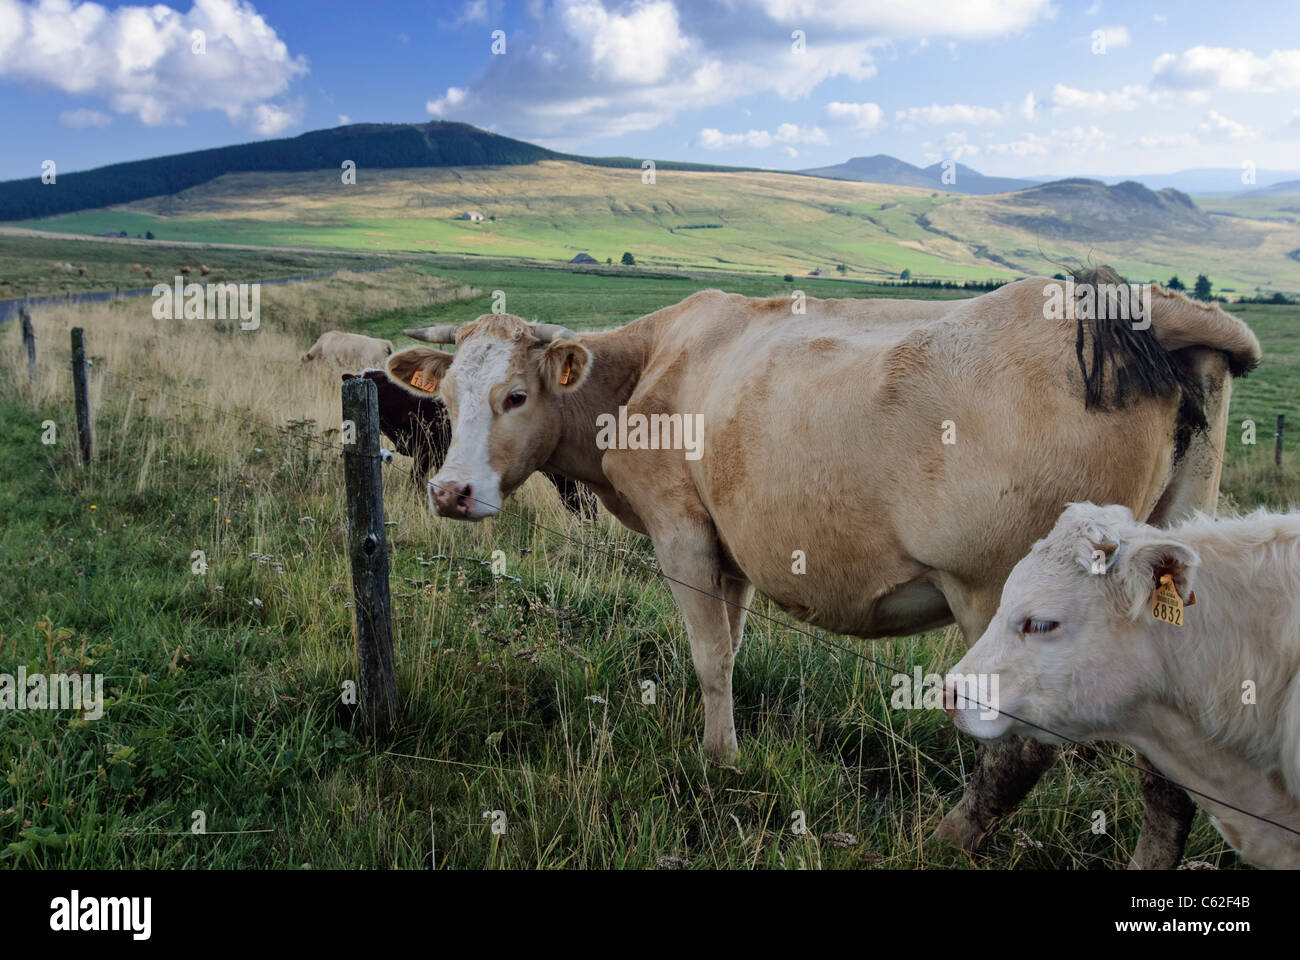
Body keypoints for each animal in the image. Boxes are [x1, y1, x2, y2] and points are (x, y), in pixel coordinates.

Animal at [384, 269, 1258, 868]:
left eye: (516, 396)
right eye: (449, 401)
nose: (451, 491)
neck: (651, 366)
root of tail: (1130, 306)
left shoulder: (681, 529)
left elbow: (709, 655)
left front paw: (719, 761)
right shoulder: (730, 545)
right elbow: (731, 646)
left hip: (1005, 594)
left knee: (1021, 750)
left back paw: (941, 839)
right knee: (1165, 766)